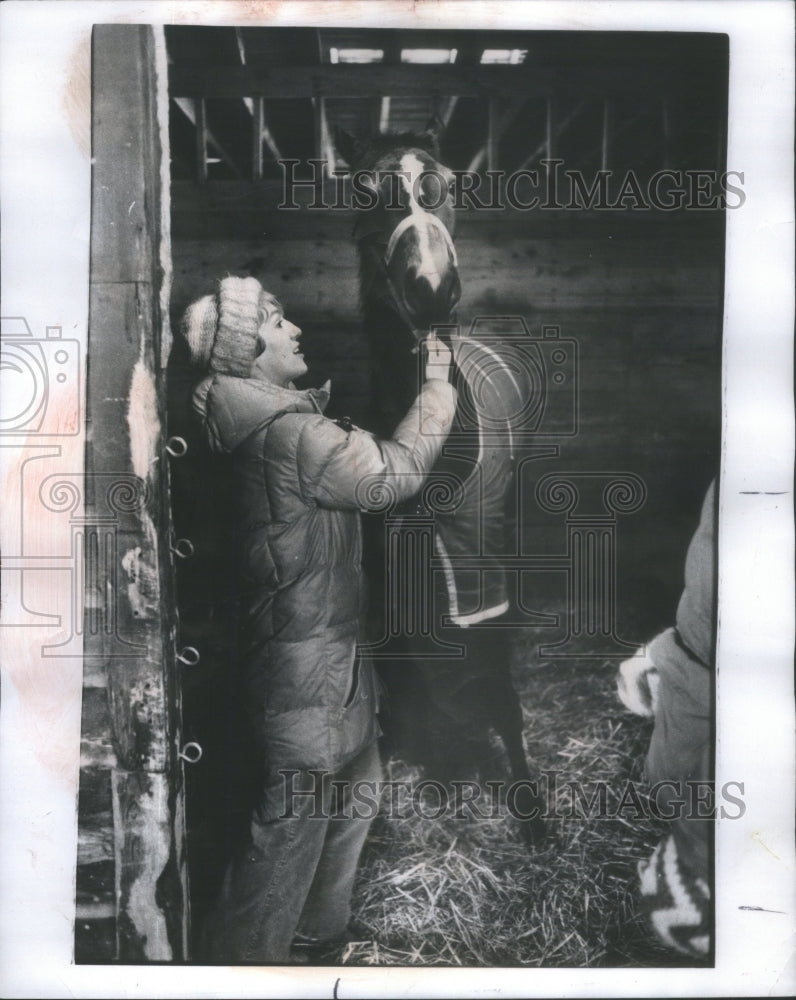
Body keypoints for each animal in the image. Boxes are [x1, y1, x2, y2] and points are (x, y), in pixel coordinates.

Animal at [336, 121, 548, 848]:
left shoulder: (480, 571)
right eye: (363, 189)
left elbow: (500, 690)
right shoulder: (392, 573)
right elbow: (405, 687)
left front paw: (530, 811)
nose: (431, 288)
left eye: (451, 184)